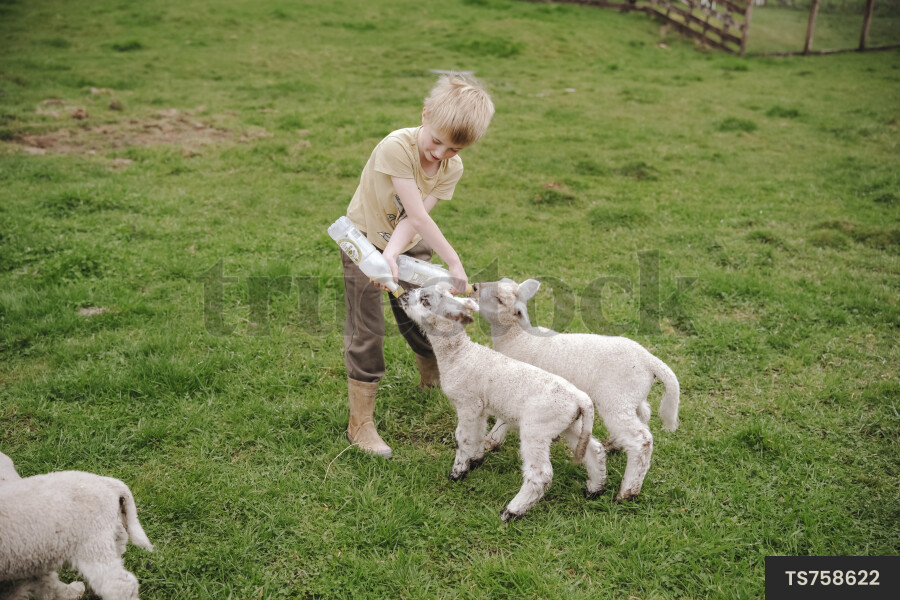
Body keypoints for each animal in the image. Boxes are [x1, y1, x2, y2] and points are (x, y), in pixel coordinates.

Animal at [0, 451, 153, 600]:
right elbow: (46, 586)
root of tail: (108, 483)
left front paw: (74, 591)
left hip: (92, 543)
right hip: (110, 535)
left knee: (121, 586)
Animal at [398, 283, 608, 521]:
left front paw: (457, 473)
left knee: (541, 473)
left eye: (425, 300)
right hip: (570, 424)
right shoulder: (479, 406)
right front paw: (475, 460)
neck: (459, 355)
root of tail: (580, 399)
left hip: (537, 427)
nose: (403, 295)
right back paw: (595, 489)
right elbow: (477, 435)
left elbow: (463, 438)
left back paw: (512, 511)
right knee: (595, 450)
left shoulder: (467, 402)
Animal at [473, 278, 680, 502]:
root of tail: (650, 361)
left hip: (616, 399)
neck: (517, 338)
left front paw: (491, 441)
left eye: (499, 299)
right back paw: (614, 445)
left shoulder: (517, 387)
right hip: (631, 395)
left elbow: (503, 418)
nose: (474, 287)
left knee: (642, 441)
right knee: (644, 415)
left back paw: (627, 491)